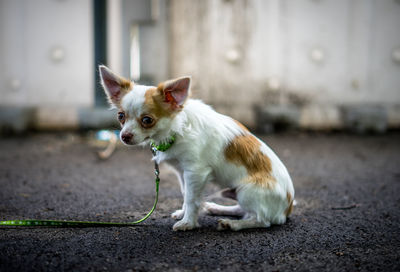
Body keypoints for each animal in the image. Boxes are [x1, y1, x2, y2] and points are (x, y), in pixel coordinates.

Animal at [99, 65, 294, 231]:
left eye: (147, 120)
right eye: (121, 116)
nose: (124, 136)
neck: (176, 130)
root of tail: (287, 208)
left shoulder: (195, 171)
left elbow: (192, 198)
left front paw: (188, 223)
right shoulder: (182, 172)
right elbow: (186, 194)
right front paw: (184, 214)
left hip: (248, 191)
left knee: (261, 220)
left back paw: (232, 224)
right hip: (238, 193)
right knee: (242, 210)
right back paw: (217, 209)